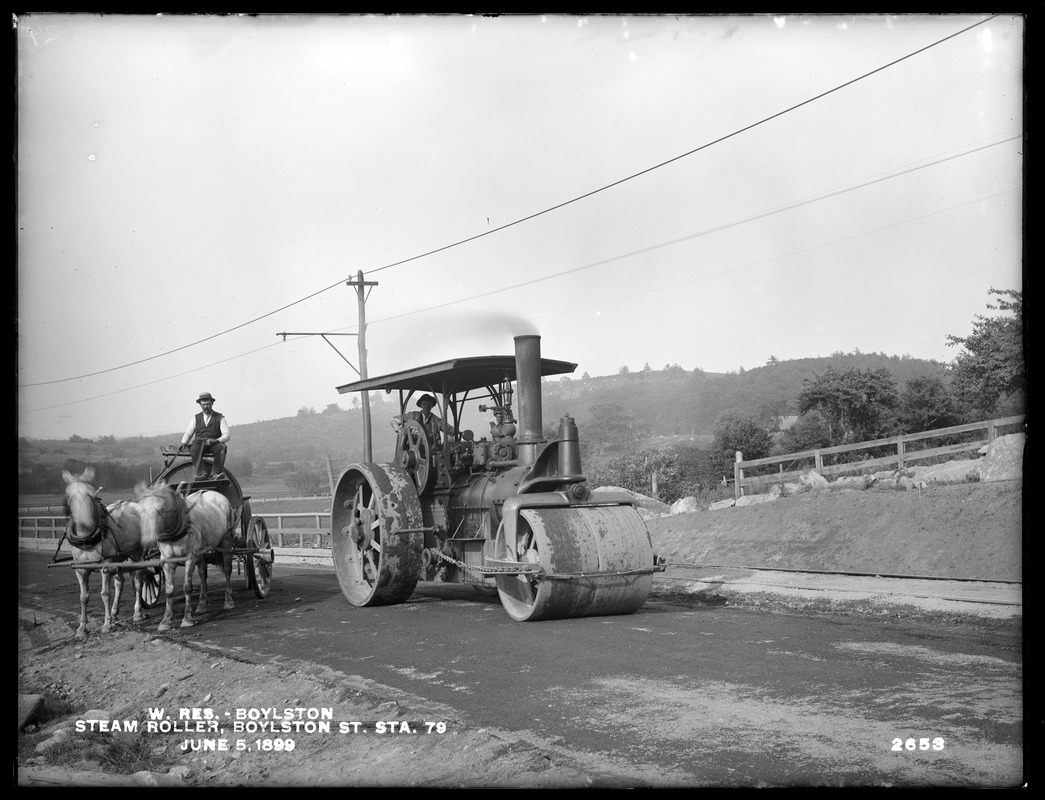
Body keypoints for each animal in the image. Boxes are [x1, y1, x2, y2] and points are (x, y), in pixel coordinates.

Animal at [61, 469, 144, 639]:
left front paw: (106, 624)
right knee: (120, 582)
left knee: (138, 581)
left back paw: (137, 613)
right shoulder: (80, 570)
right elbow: (83, 597)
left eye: (91, 494)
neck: (87, 541)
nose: (86, 522)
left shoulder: (105, 567)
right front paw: (82, 627)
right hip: (120, 557)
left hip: (138, 553)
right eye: (69, 496)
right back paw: (115, 614)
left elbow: (105, 594)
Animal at [135, 482, 236, 634]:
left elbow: (187, 587)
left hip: (226, 541)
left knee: (227, 570)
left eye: (162, 508)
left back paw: (228, 601)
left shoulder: (190, 558)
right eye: (142, 509)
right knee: (203, 573)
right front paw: (165, 621)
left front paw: (187, 619)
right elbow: (169, 590)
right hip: (201, 551)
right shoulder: (167, 561)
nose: (147, 536)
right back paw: (201, 604)